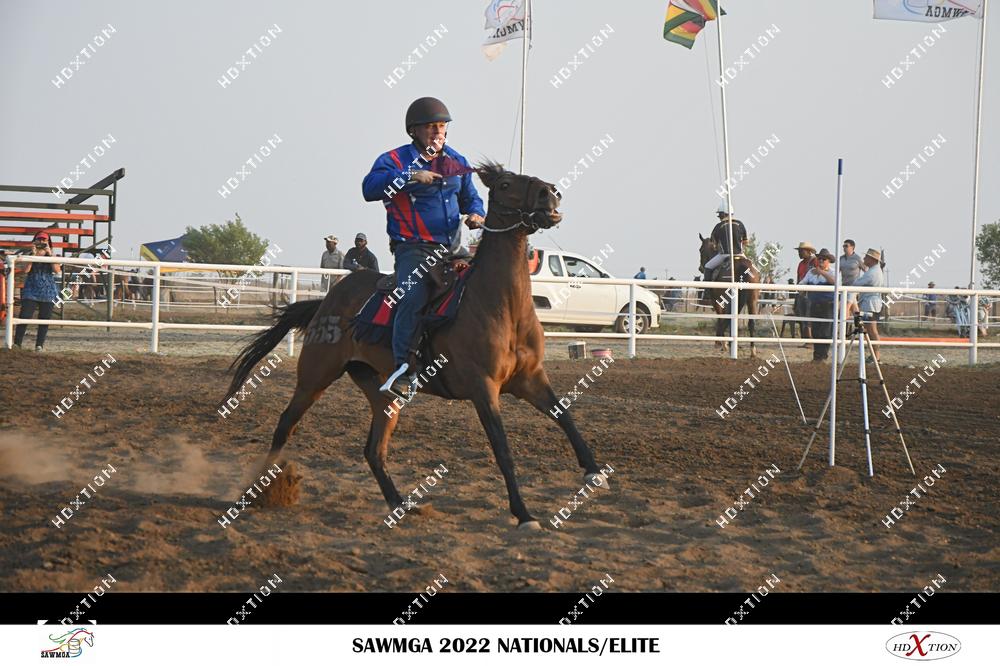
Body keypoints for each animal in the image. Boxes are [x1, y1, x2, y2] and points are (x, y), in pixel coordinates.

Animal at [225, 163, 606, 529]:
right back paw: (257, 492)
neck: (502, 306)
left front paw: (593, 470)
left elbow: (564, 415)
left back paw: (401, 505)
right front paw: (524, 514)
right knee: (284, 425)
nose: (549, 193)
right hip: (314, 376)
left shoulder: (530, 379)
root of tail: (326, 300)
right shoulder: (483, 388)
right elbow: (502, 449)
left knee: (373, 450)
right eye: (505, 185)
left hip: (382, 393)